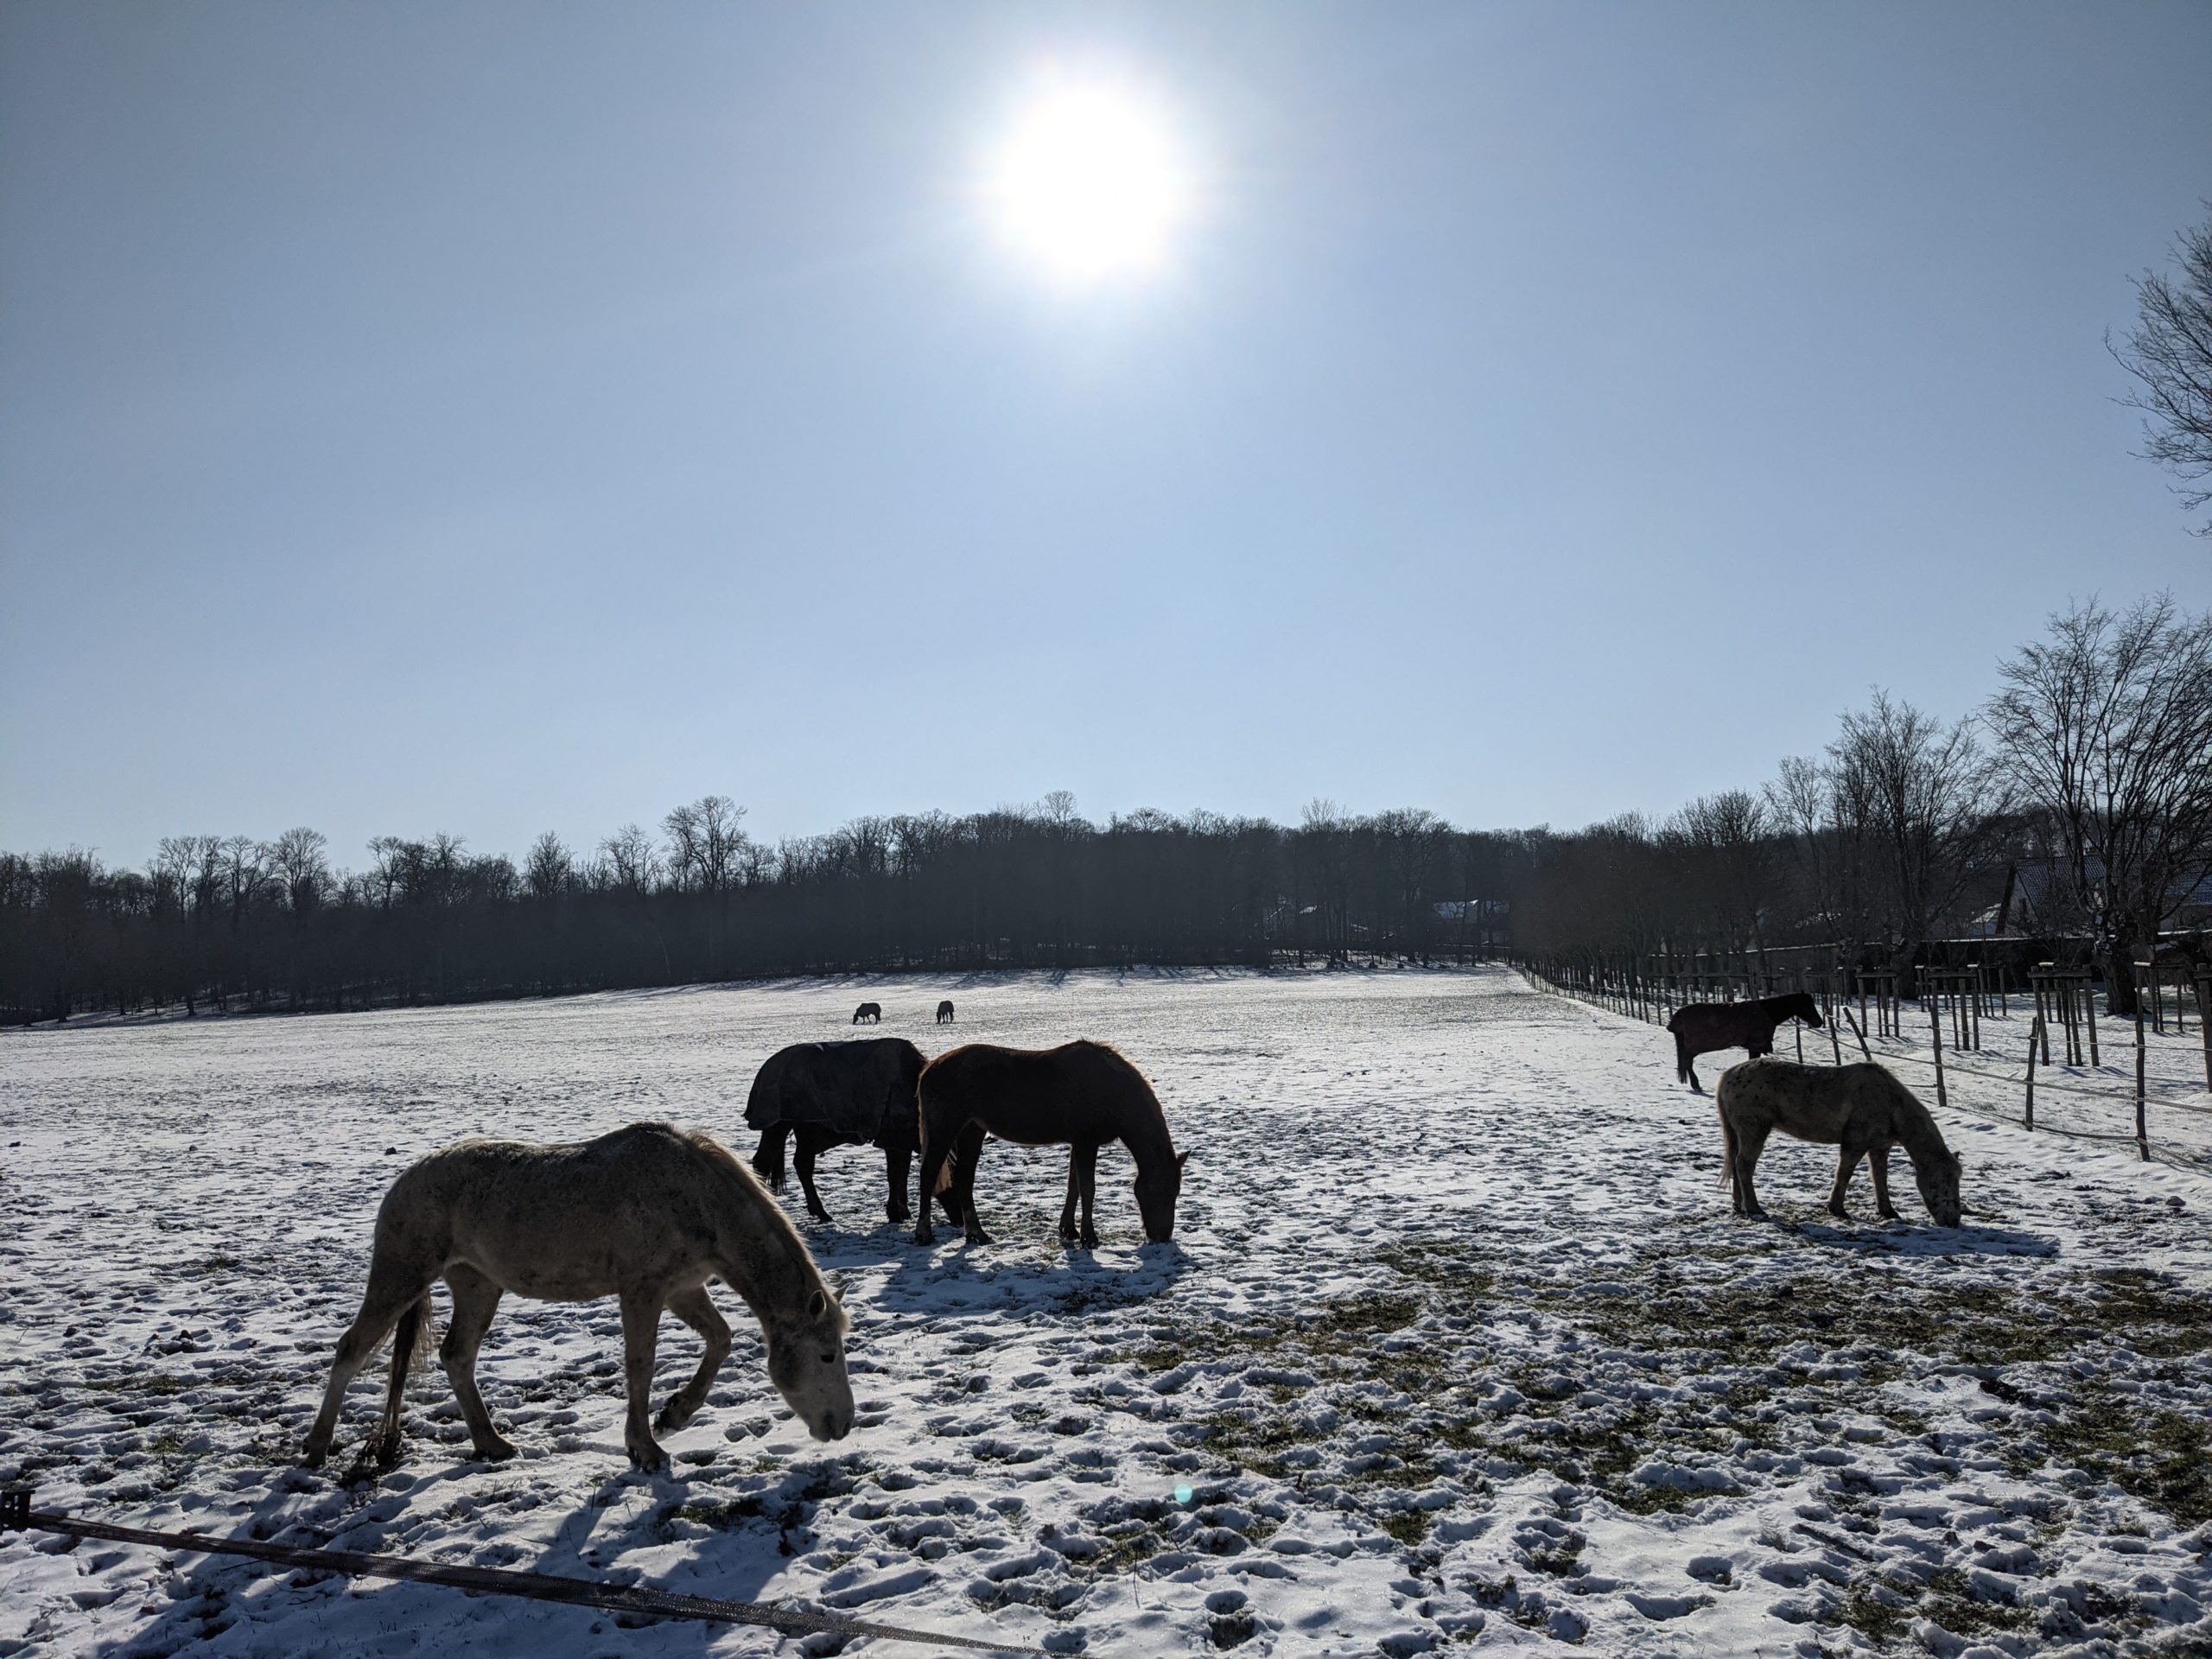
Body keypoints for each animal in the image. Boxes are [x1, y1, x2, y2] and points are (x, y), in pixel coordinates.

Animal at [296, 1123, 844, 1478]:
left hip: (477, 1285)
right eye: (825, 1355)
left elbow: (721, 1339)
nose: (841, 1426)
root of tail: (404, 1181)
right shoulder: (643, 1291)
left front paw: (675, 1414)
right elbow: (641, 1365)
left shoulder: (682, 1288)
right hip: (401, 1276)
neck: (695, 1196)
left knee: (457, 1357)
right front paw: (645, 1449)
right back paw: (316, 1449)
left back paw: (492, 1444)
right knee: (352, 1349)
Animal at [747, 1044, 955, 1230]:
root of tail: (766, 1069)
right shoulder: (892, 1138)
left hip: (806, 1131)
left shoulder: (902, 1139)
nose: (957, 1219)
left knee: (801, 1164)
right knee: (763, 1163)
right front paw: (894, 1213)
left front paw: (902, 1211)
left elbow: (901, 1174)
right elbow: (894, 1175)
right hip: (778, 1127)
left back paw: (820, 1212)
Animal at [906, 1039, 1185, 1247]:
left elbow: (1074, 1186)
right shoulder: (1086, 1142)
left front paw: (1069, 1230)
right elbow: (1088, 1188)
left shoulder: (1079, 1143)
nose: (1162, 1236)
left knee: (964, 1179)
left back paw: (977, 1233)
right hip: (945, 1131)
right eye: (1163, 1190)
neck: (1109, 1087)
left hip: (972, 1132)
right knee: (928, 1175)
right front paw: (1089, 1237)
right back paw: (924, 1233)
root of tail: (928, 1069)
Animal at [1663, 995, 1822, 1096]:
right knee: (1687, 1062)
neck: (1768, 1012)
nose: (1819, 1022)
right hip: (1693, 1046)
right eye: (1807, 1005)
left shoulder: (1754, 1046)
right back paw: (1696, 1085)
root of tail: (1677, 1016)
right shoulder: (1756, 1045)